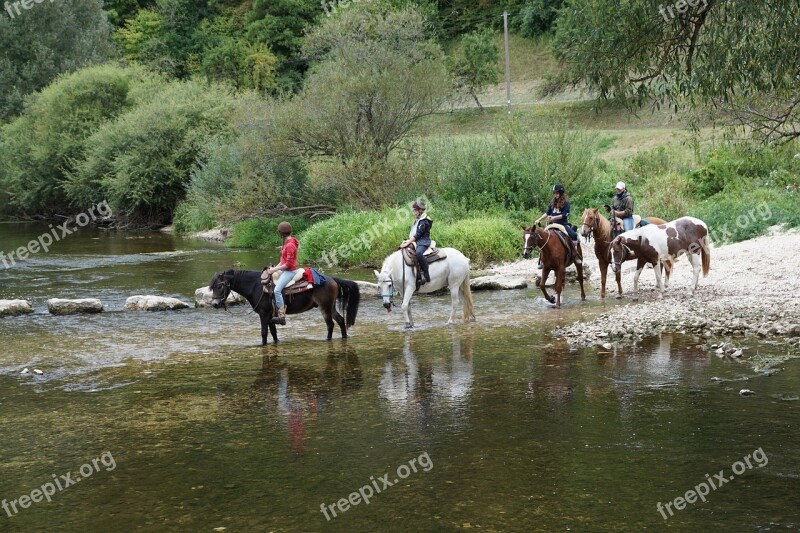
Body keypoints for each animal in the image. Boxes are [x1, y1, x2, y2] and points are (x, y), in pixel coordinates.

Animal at [209, 268, 360, 342]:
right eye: (213, 286)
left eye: (220, 286)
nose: (215, 304)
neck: (256, 286)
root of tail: (332, 279)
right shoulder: (270, 316)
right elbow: (273, 333)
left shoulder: (263, 314)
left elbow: (264, 333)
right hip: (331, 307)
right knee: (340, 321)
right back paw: (344, 337)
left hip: (325, 307)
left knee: (330, 324)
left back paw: (327, 340)